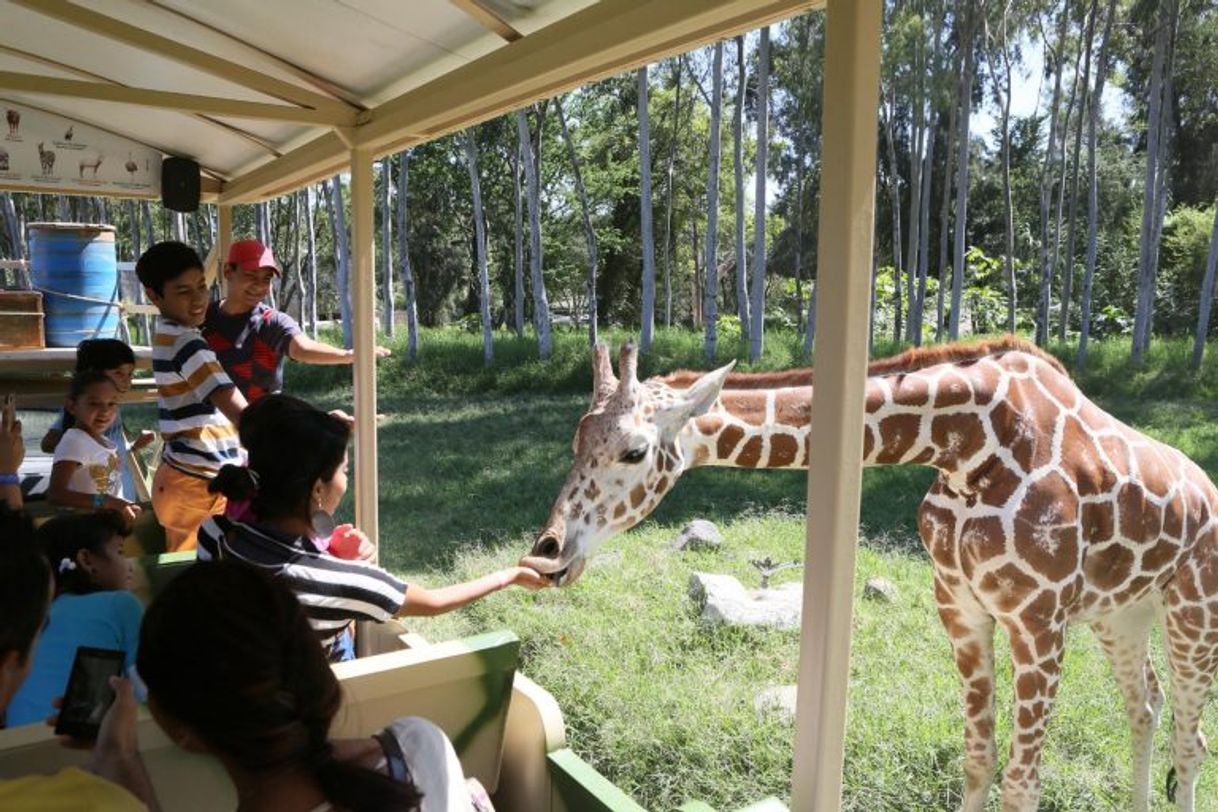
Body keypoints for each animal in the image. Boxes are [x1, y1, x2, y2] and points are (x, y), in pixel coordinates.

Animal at [523, 338, 1218, 812]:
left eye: (634, 451)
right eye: (576, 439)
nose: (547, 552)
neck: (966, 447)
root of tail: (1206, 488)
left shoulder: (1036, 620)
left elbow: (1023, 785)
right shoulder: (960, 608)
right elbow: (978, 759)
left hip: (1193, 611)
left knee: (1189, 739)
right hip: (1121, 611)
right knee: (1145, 707)